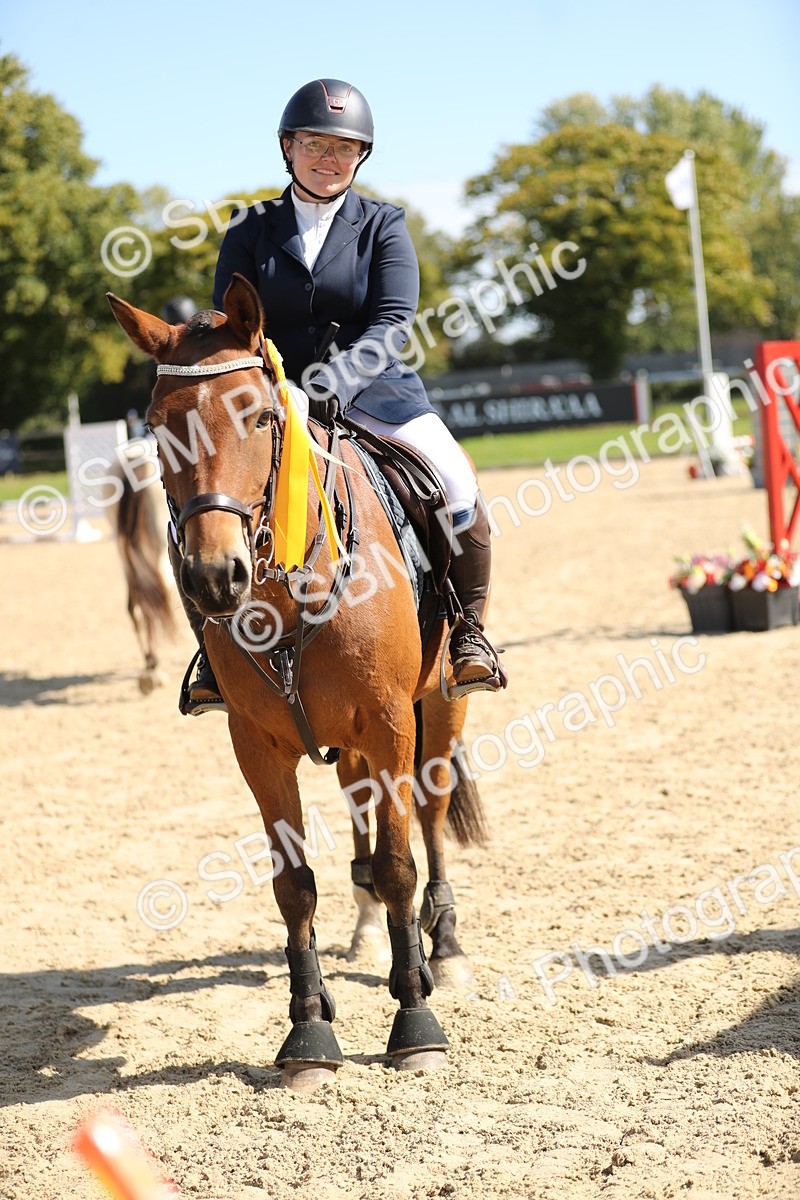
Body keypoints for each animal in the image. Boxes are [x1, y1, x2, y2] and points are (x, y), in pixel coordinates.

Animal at [107, 274, 488, 1092]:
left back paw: (444, 949)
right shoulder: (257, 747)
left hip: (439, 707)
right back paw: (367, 930)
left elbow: (403, 864)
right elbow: (295, 887)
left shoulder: (392, 723)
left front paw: (415, 1022)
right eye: (157, 427)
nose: (214, 577)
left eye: (259, 414)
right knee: (362, 810)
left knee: (430, 817)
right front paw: (309, 1030)